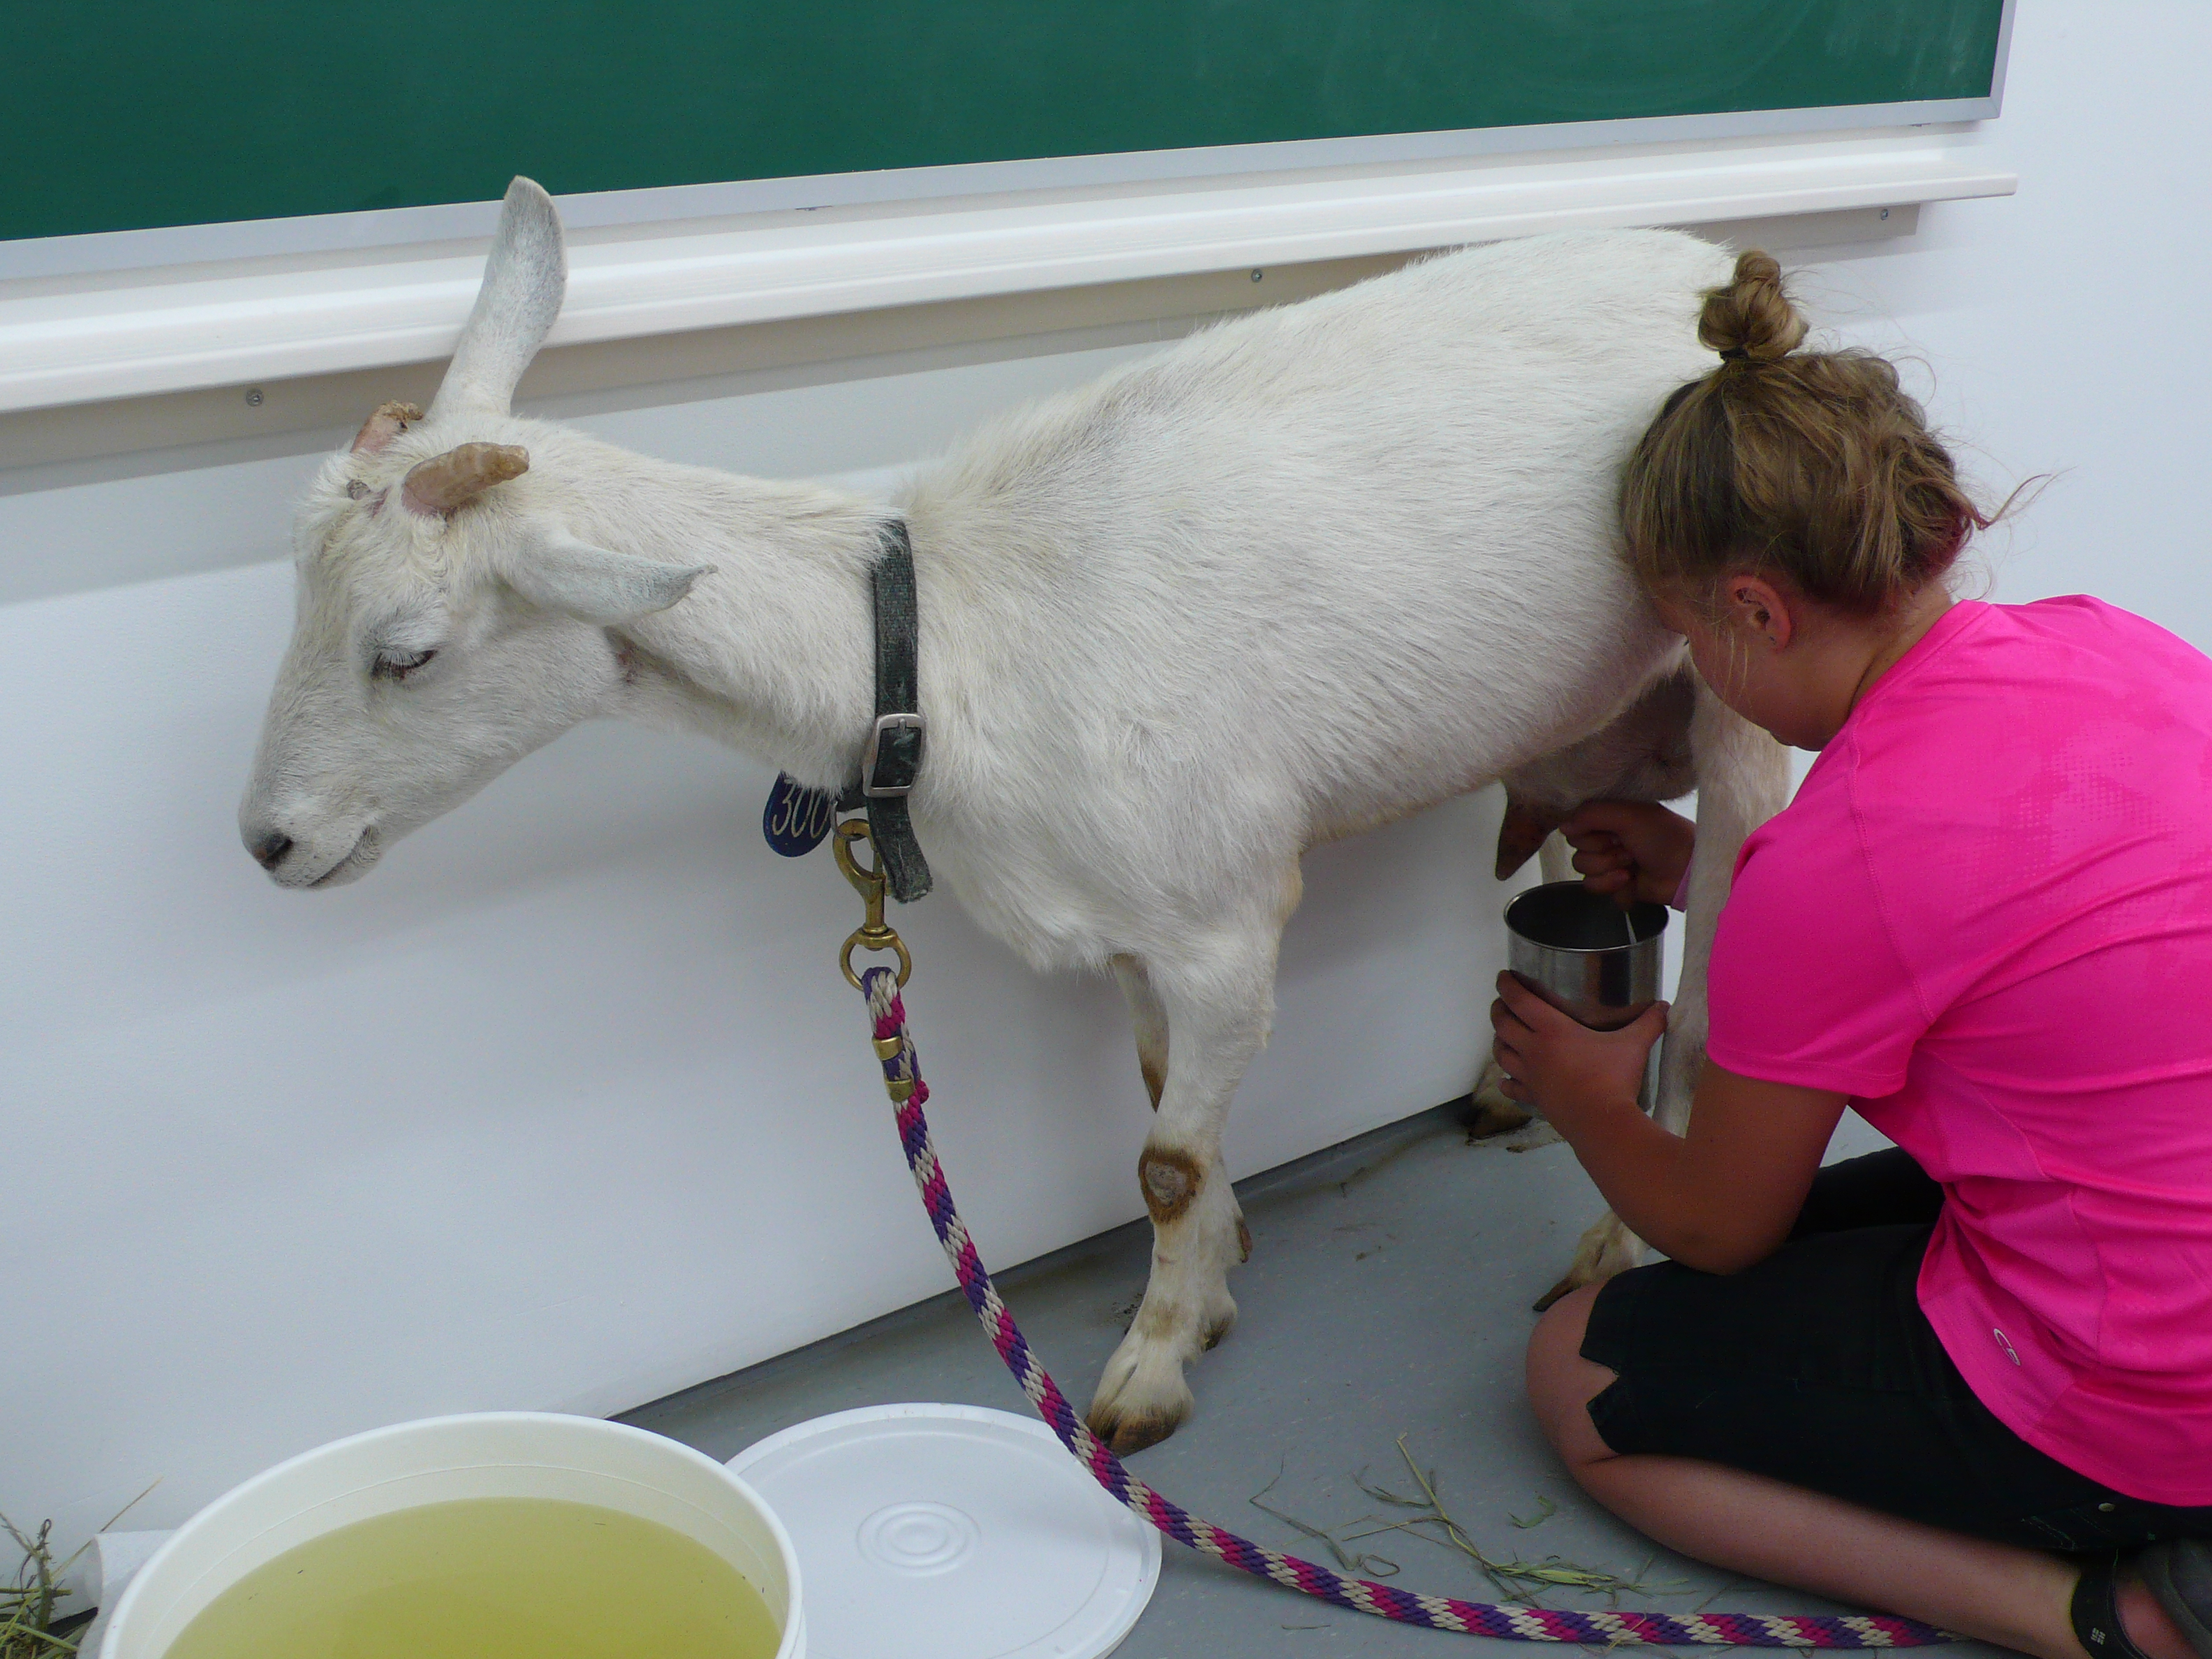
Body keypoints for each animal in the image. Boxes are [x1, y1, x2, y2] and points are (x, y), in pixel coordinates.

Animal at [240, 178, 1790, 1453]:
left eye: (407, 651)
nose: (269, 841)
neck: (940, 643)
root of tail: (1731, 285)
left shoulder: (1223, 917)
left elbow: (1161, 1161)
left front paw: (1150, 1368)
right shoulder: (1130, 924)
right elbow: (1165, 1102)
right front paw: (1212, 1282)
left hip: (1739, 695)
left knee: (1716, 962)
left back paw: (1619, 1245)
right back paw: (1510, 1082)